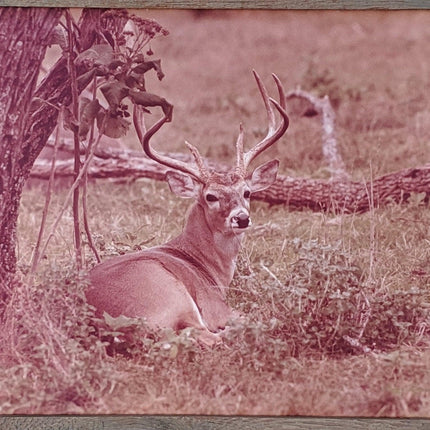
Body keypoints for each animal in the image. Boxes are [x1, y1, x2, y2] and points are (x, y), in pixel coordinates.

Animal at [86, 71, 288, 346]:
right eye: (211, 196)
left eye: (247, 192)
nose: (241, 218)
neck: (206, 266)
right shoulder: (214, 305)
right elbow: (258, 314)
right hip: (170, 295)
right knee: (206, 335)